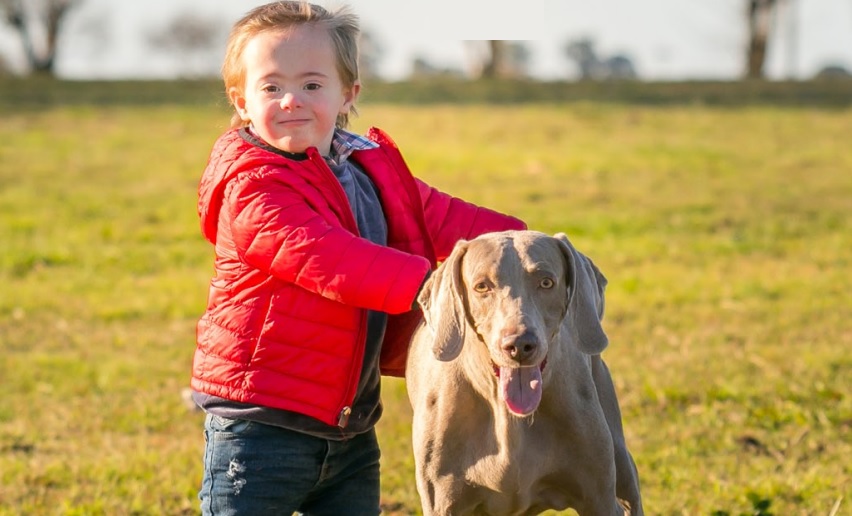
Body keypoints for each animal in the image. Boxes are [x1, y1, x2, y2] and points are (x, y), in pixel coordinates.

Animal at [406, 231, 640, 516]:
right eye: (482, 287)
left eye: (546, 282)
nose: (519, 345)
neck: (509, 416)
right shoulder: (442, 502)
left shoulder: (598, 499)